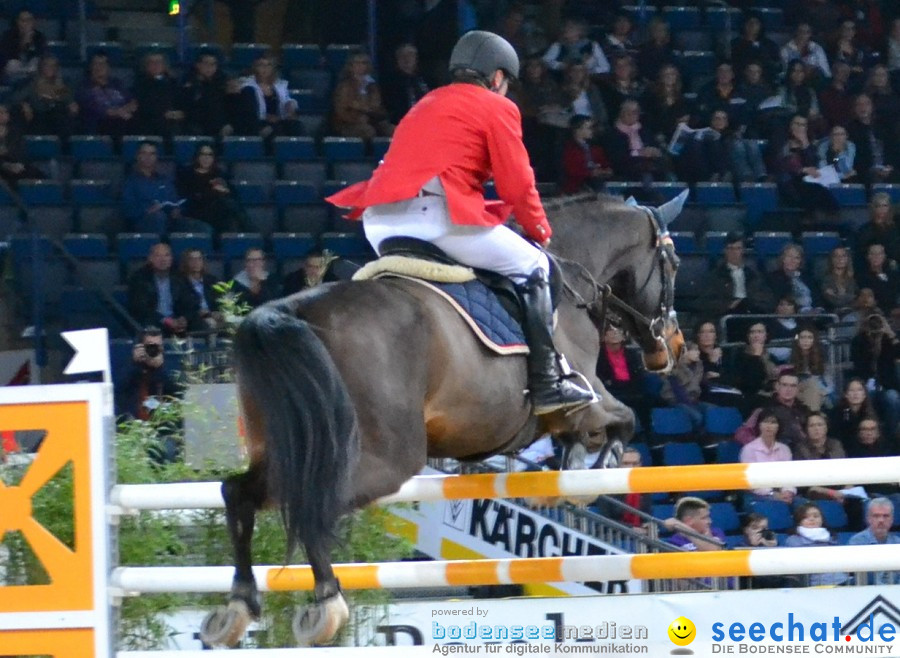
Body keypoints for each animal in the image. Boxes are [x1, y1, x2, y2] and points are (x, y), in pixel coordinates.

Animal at [200, 193, 684, 644]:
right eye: (674, 263)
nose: (674, 346)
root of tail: (292, 311)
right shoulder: (587, 397)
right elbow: (624, 420)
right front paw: (592, 475)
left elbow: (586, 436)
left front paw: (563, 478)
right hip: (382, 459)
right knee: (314, 502)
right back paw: (327, 603)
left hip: (287, 445)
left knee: (238, 493)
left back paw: (238, 606)